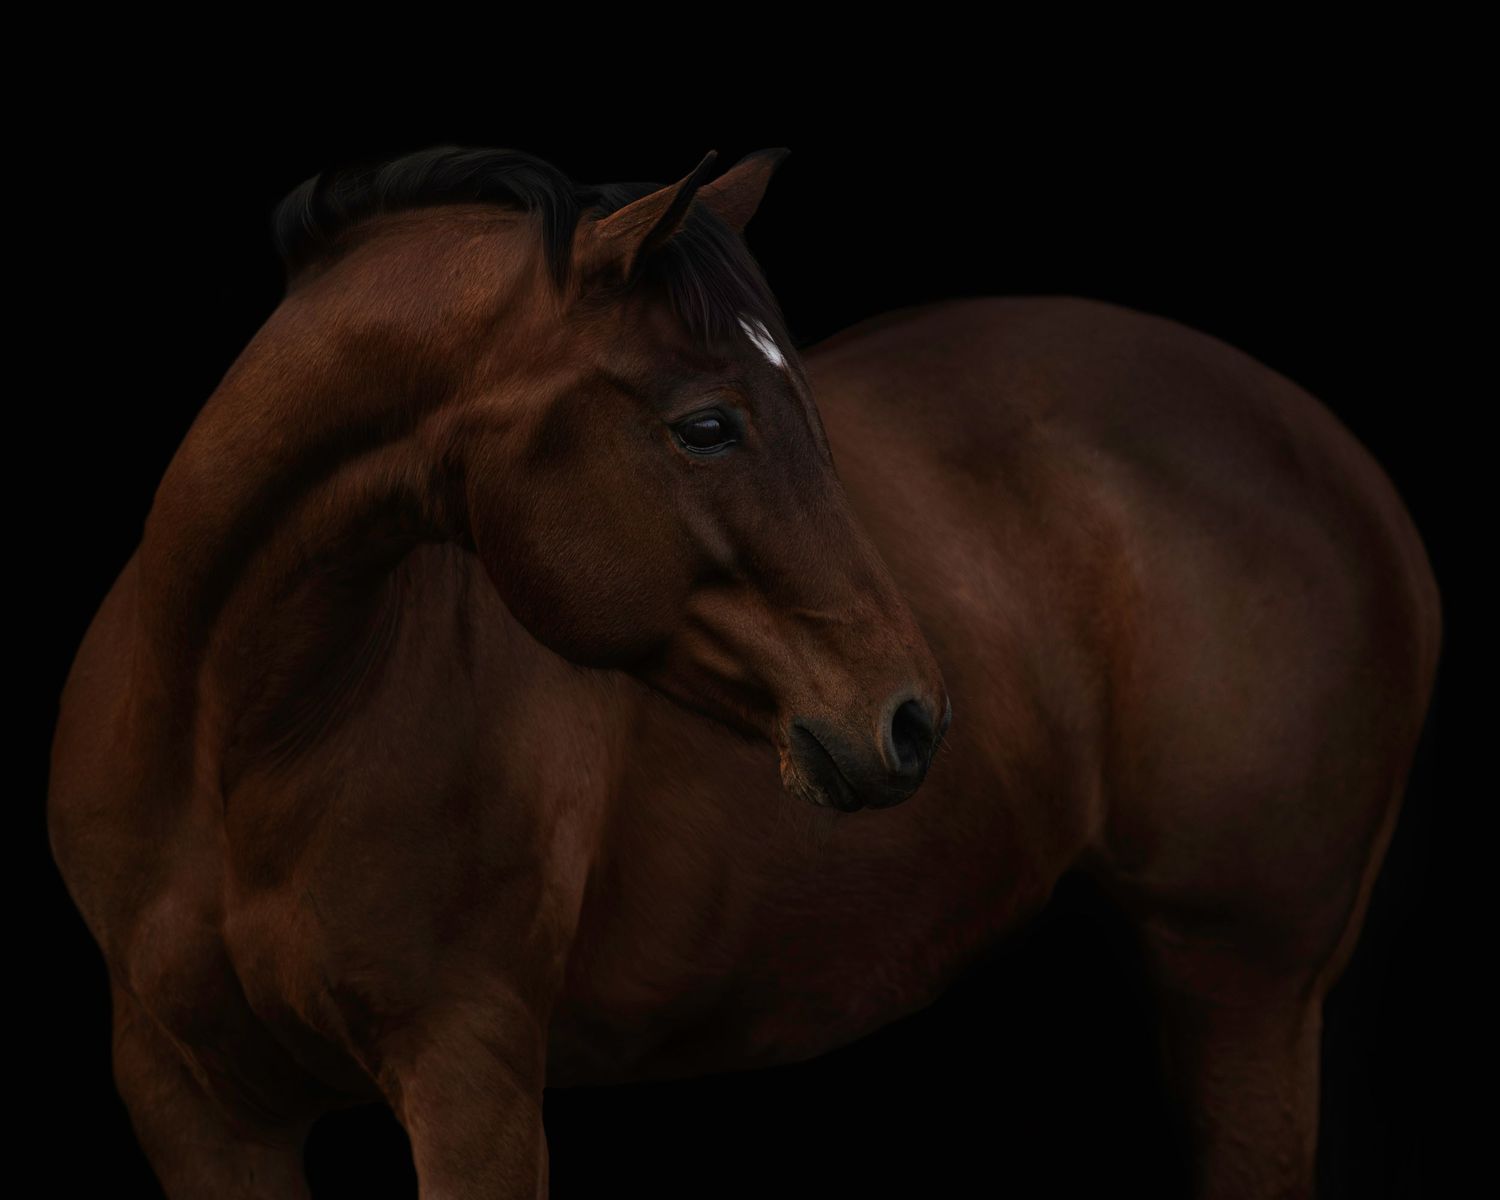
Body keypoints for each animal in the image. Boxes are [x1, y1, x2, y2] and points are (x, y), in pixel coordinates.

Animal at [47, 144, 1441, 1199]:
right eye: (708, 425)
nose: (912, 720)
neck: (235, 736)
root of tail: (1337, 460)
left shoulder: (468, 1077)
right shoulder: (197, 1108)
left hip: (1245, 981)